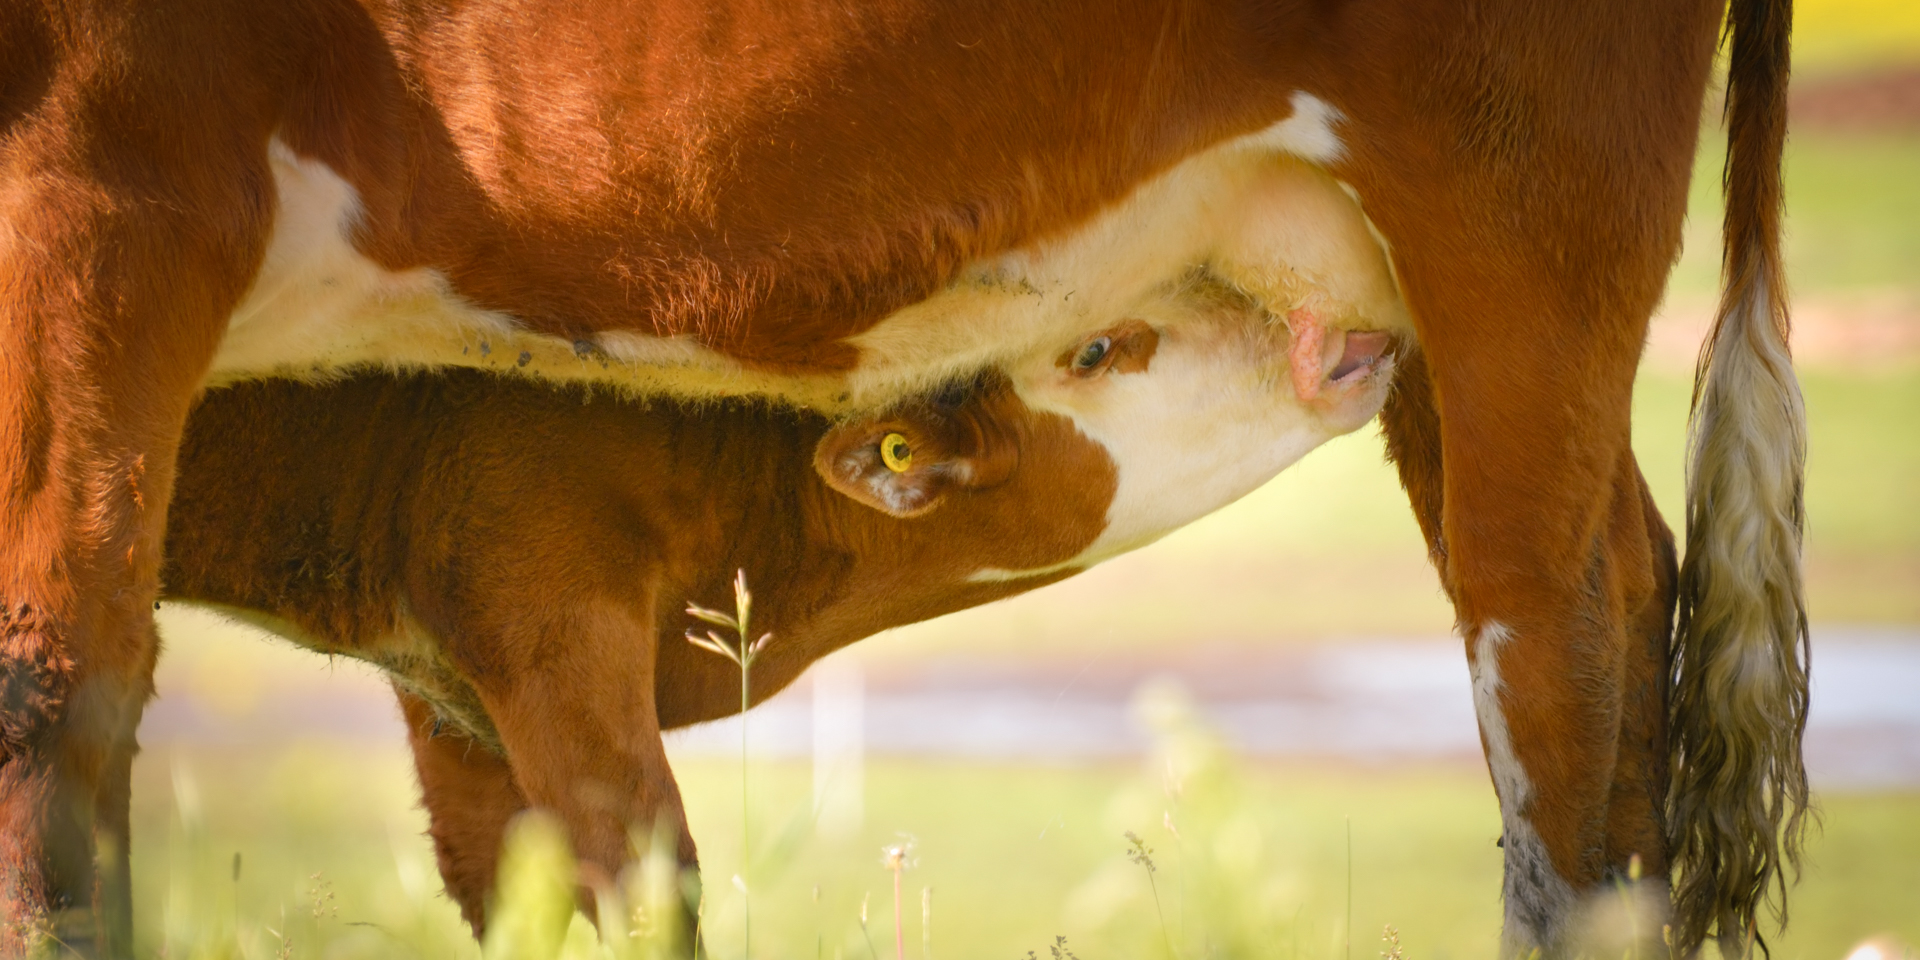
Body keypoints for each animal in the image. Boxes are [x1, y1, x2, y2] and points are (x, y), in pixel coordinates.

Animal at [161, 280, 1397, 936]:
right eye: (1097, 345)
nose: (1351, 334)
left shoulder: (453, 688)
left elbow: (514, 895)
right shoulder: (547, 620)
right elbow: (647, 881)